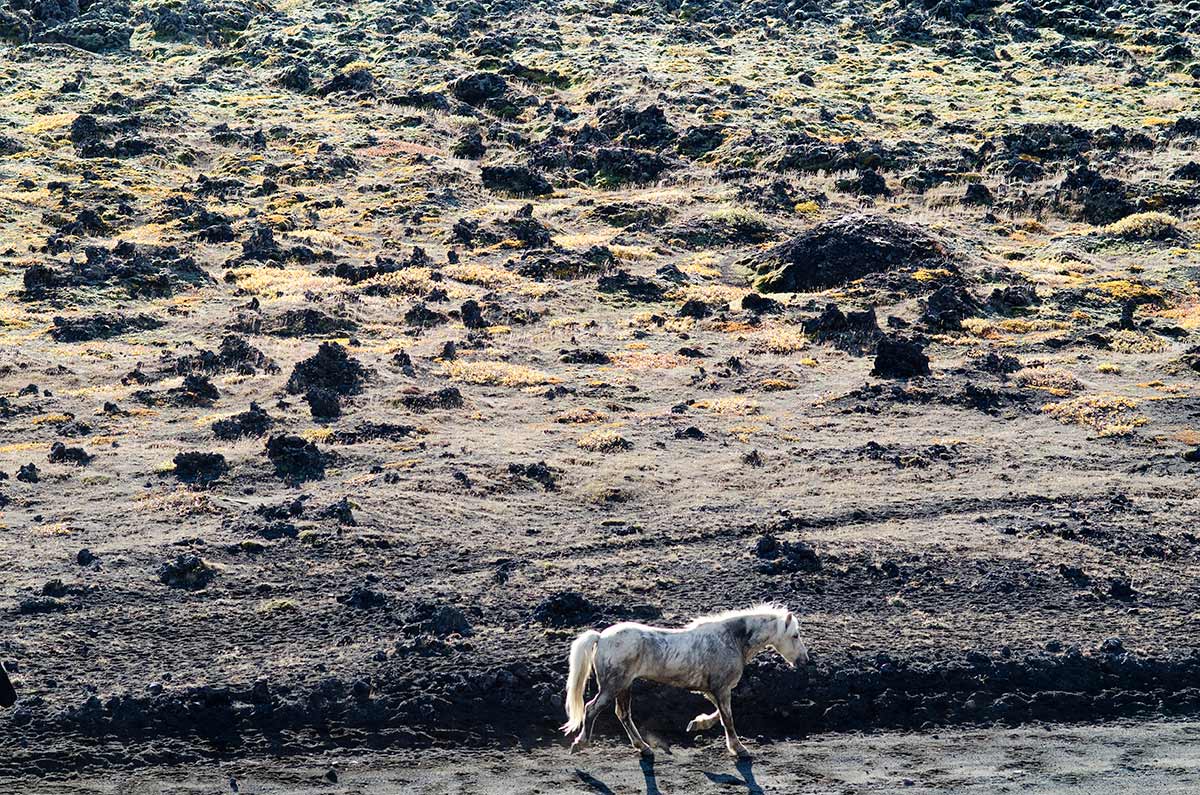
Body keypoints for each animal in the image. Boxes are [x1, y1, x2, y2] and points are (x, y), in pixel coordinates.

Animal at [559, 605, 806, 758]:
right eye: (794, 635)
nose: (804, 660)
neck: (731, 639)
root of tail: (601, 637)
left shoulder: (713, 689)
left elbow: (719, 715)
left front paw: (696, 724)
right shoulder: (722, 688)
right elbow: (728, 718)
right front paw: (739, 749)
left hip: (624, 686)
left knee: (623, 714)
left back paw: (644, 748)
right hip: (612, 686)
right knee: (591, 709)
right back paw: (580, 743)